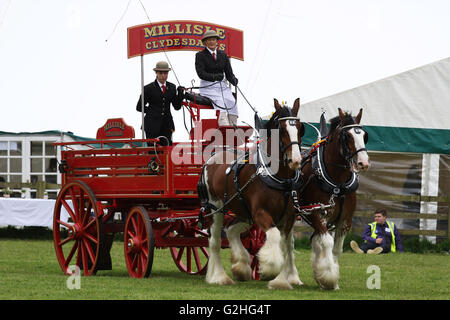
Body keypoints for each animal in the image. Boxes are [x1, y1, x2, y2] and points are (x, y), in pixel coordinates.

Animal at [200, 98, 306, 290]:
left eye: (300, 128)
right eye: (281, 129)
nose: (295, 160)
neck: (279, 178)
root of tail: (213, 156)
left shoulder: (288, 217)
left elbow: (285, 245)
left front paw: (281, 280)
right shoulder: (261, 214)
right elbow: (274, 236)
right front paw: (270, 268)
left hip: (243, 212)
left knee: (231, 229)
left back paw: (241, 266)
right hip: (216, 209)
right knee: (215, 241)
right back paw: (218, 276)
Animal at [298, 107, 370, 290]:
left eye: (364, 135)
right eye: (347, 136)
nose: (363, 163)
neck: (338, 182)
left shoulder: (345, 220)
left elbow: (336, 248)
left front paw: (329, 279)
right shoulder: (317, 214)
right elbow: (327, 243)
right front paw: (328, 278)